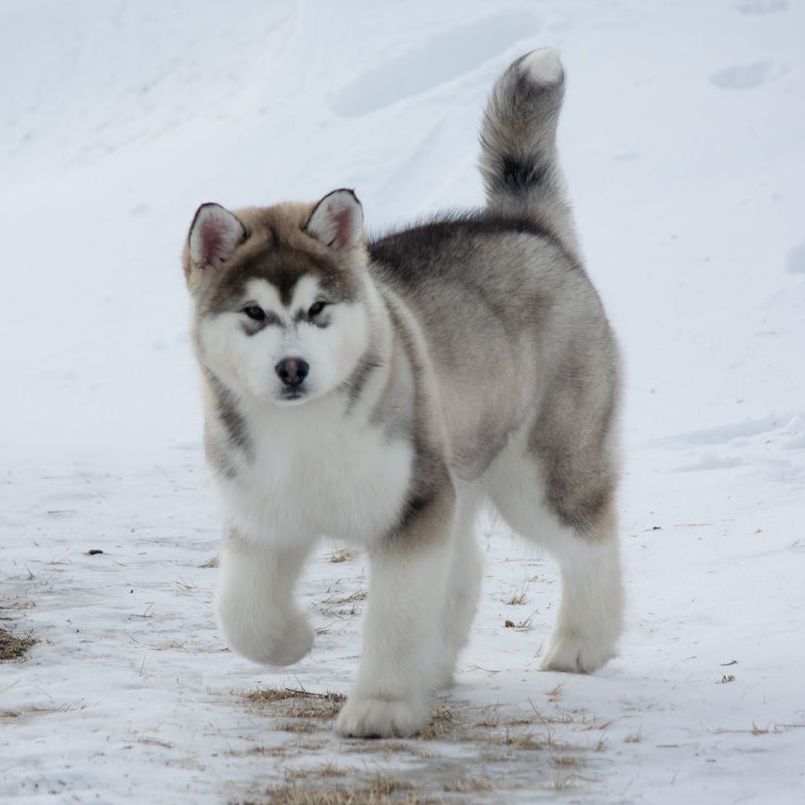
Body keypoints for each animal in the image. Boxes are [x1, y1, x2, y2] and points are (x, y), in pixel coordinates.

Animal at [182, 48, 620, 736]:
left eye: (317, 308)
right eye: (253, 312)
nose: (292, 369)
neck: (305, 433)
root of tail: (520, 224)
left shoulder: (412, 509)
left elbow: (395, 618)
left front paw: (381, 708)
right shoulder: (264, 515)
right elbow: (242, 616)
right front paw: (295, 639)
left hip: (540, 469)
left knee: (591, 537)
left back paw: (581, 644)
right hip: (458, 466)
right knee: (466, 571)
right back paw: (437, 667)